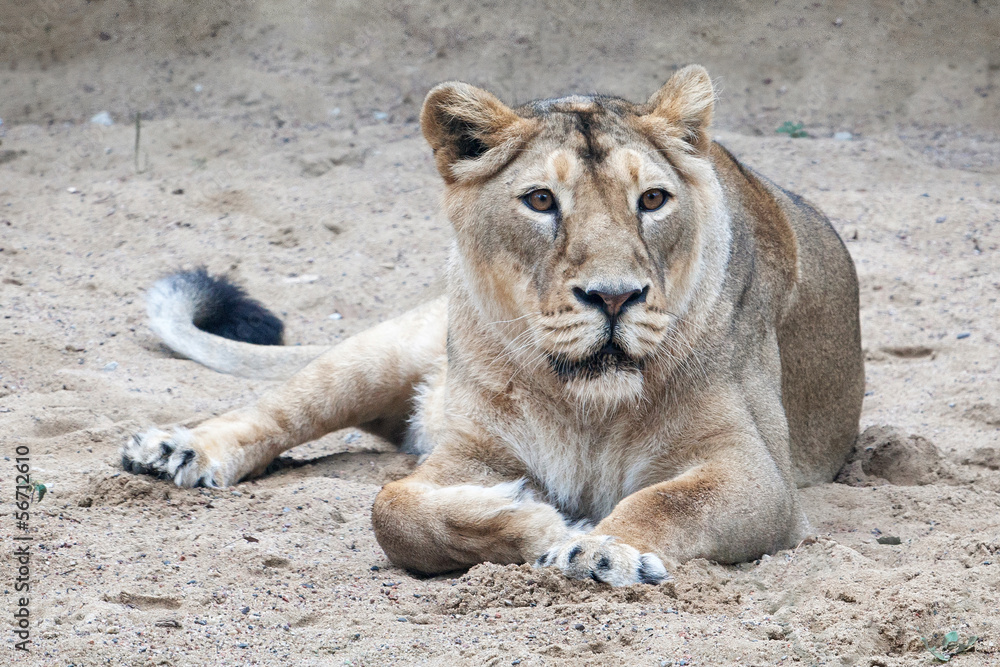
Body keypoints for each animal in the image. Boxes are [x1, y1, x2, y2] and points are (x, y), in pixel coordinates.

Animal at [121, 65, 864, 586]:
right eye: (540, 200)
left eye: (653, 199)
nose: (615, 297)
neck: (583, 402)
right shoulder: (465, 454)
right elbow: (393, 508)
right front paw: (537, 519)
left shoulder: (758, 475)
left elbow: (668, 504)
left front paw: (602, 546)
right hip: (376, 355)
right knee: (277, 410)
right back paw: (178, 449)